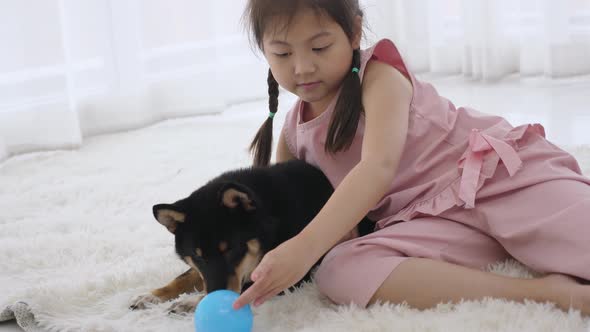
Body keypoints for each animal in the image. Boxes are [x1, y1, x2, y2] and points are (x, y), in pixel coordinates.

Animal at [131, 160, 374, 312]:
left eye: (230, 249)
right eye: (197, 256)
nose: (213, 298)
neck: (271, 216)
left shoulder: (290, 273)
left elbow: (245, 289)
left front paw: (192, 302)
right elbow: (185, 277)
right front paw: (152, 295)